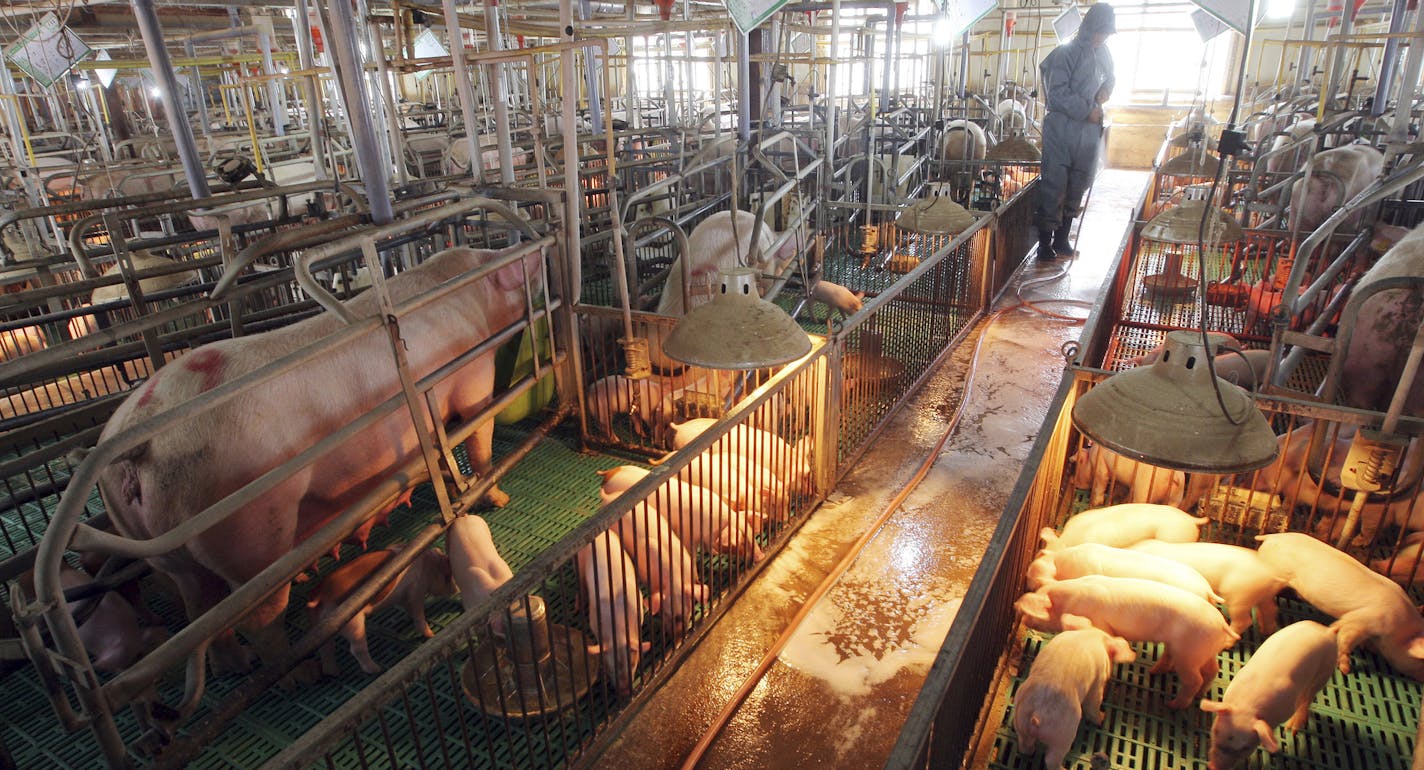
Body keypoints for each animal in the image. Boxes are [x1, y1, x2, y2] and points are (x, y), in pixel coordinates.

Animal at [94, 243, 538, 674]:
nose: (534, 251)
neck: (470, 296)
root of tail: (139, 442)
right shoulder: (472, 379)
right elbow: (479, 436)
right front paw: (497, 497)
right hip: (253, 539)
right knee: (259, 619)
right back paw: (293, 670)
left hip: (171, 557)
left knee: (200, 616)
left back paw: (235, 666)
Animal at [1013, 623, 1133, 768]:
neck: (1090, 635)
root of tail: (1036, 715)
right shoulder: (1098, 681)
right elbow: (1093, 703)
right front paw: (1102, 717)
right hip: (1063, 733)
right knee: (1051, 759)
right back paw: (1063, 767)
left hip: (1020, 721)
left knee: (1024, 745)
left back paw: (1030, 752)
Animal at [1019, 575, 1241, 708]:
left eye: (1038, 610)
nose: (1023, 620)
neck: (1070, 601)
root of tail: (1221, 623)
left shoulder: (1100, 623)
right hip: (1203, 650)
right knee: (1212, 670)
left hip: (1188, 653)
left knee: (1195, 679)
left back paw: (1173, 705)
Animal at [1201, 617, 1332, 768]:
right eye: (1216, 731)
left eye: (1245, 748)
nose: (1213, 766)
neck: (1248, 706)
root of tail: (1326, 630)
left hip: (1325, 670)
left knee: (1308, 696)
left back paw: (1292, 727)